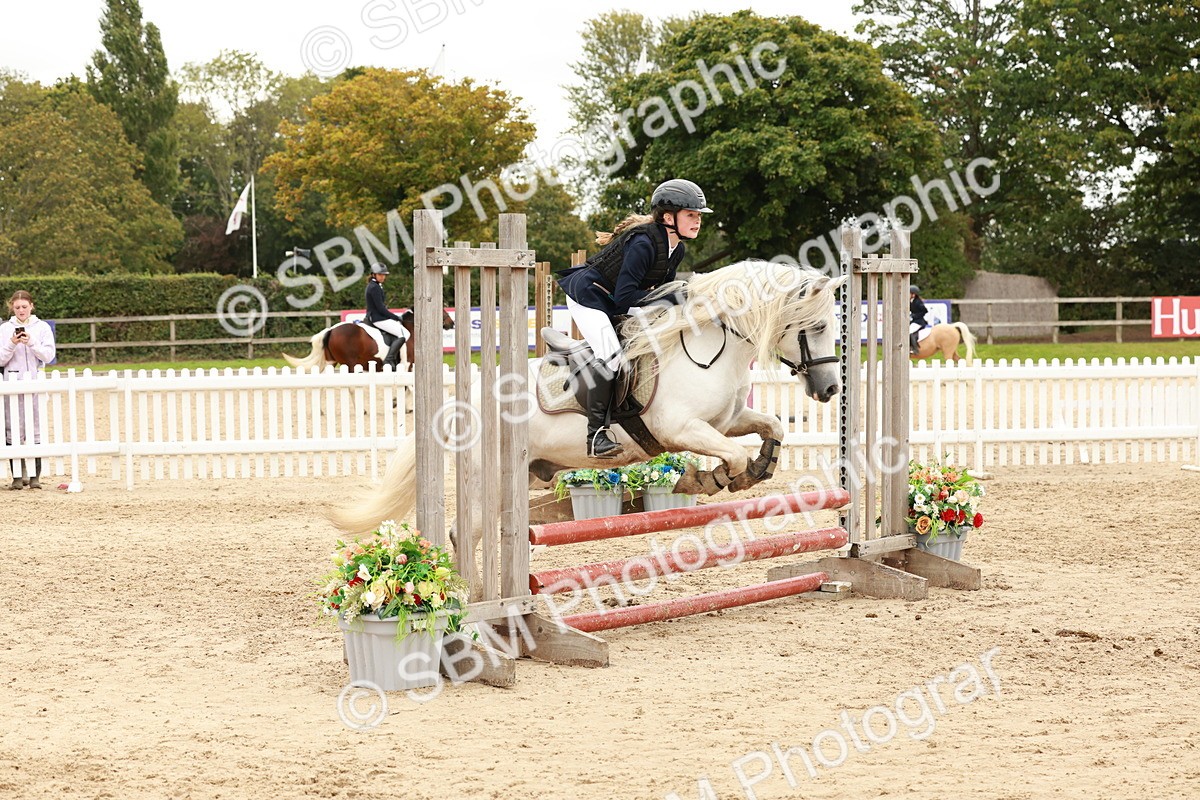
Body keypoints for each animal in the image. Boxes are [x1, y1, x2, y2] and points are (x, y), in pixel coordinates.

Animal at [282, 309, 454, 372]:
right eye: (442, 308)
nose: (451, 323)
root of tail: (331, 330)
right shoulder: (407, 364)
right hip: (350, 364)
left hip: (332, 361)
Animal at [328, 260, 845, 536]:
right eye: (817, 325)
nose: (830, 389)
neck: (709, 343)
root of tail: (461, 406)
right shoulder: (680, 428)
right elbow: (731, 457)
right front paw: (710, 479)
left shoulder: (725, 421)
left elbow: (770, 427)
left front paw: (762, 466)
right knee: (465, 532)